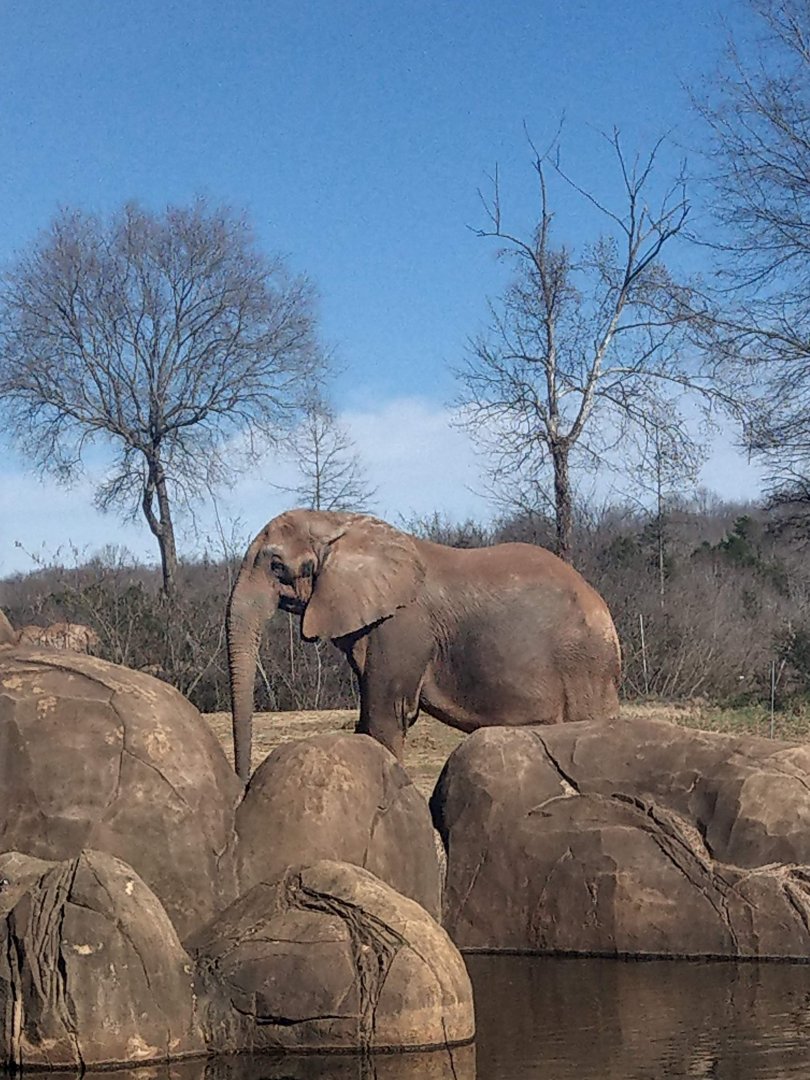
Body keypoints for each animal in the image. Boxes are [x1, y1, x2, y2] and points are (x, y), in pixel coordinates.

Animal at [227, 509, 621, 781]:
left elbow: (386, 714)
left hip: (583, 666)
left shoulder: (402, 626)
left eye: (277, 566)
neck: (336, 521)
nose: (243, 784)